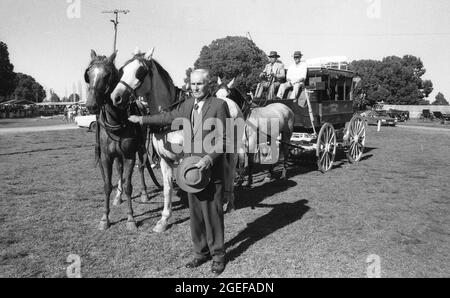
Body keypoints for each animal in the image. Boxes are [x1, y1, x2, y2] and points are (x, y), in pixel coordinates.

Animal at [85, 50, 157, 232]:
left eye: (107, 74)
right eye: (89, 74)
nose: (90, 105)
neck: (117, 120)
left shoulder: (129, 155)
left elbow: (128, 186)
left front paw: (131, 219)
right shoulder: (106, 157)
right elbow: (107, 185)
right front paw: (105, 218)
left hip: (140, 147)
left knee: (141, 166)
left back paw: (144, 193)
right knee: (119, 171)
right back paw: (118, 197)